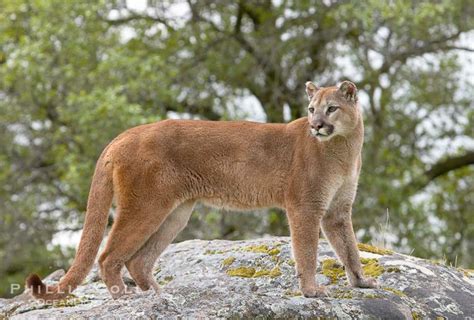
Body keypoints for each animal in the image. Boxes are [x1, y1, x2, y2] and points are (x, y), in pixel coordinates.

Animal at [27, 80, 378, 300]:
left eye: (331, 108)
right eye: (311, 108)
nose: (316, 125)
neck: (344, 148)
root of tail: (125, 134)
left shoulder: (337, 209)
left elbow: (349, 248)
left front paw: (362, 282)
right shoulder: (305, 206)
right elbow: (307, 251)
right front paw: (311, 291)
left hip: (175, 212)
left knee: (137, 260)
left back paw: (158, 295)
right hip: (145, 206)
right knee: (108, 256)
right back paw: (124, 298)